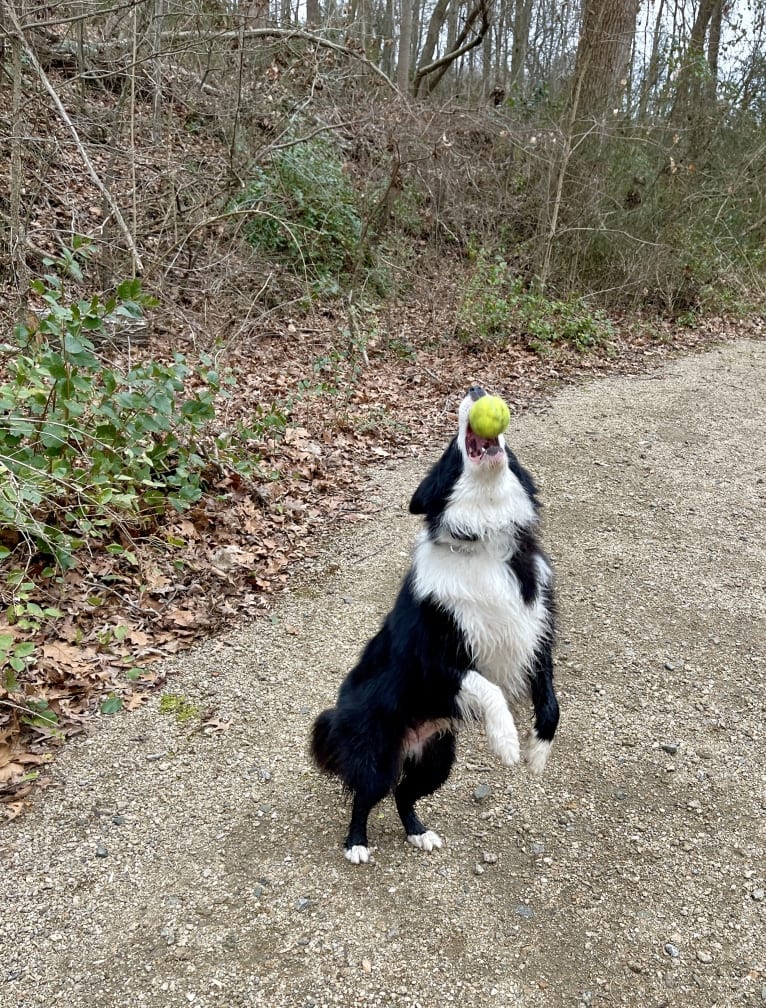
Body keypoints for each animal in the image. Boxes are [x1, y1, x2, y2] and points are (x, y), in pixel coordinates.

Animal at [310, 381, 556, 862]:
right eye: (449, 452)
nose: (476, 388)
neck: (485, 539)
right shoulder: (435, 661)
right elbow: (489, 688)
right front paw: (506, 741)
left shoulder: (535, 634)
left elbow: (550, 700)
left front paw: (538, 751)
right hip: (379, 753)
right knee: (367, 796)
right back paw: (357, 844)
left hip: (437, 757)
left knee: (404, 794)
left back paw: (418, 832)